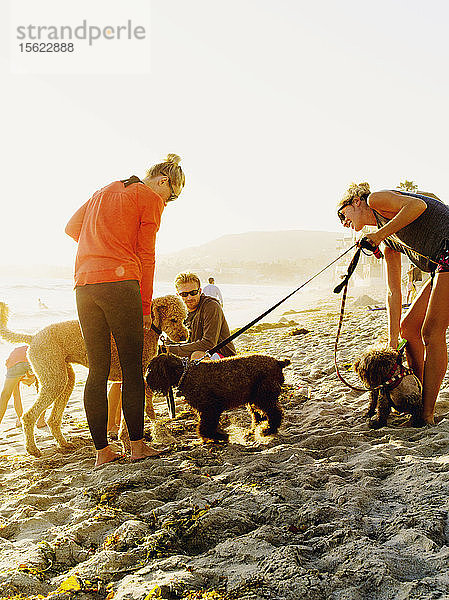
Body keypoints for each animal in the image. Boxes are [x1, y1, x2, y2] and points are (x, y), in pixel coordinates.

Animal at [0, 296, 187, 454]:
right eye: (173, 319)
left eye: (183, 318)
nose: (184, 336)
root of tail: (32, 337)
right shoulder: (135, 378)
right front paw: (129, 444)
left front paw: (128, 443)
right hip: (54, 378)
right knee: (28, 416)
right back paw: (33, 449)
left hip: (65, 378)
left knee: (53, 418)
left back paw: (64, 444)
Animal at [145, 354, 288, 442]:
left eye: (153, 370)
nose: (146, 379)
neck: (185, 374)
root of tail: (277, 362)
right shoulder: (205, 410)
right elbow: (208, 425)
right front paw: (216, 435)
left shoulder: (210, 408)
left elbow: (205, 427)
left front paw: (217, 436)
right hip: (254, 398)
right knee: (259, 416)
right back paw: (253, 431)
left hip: (263, 397)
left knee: (274, 413)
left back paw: (268, 429)